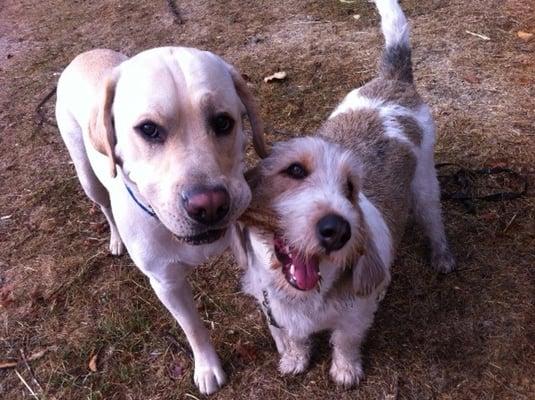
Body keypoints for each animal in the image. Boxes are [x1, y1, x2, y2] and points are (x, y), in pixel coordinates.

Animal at [232, 0, 454, 388]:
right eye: (294, 170)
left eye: (351, 187)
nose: (337, 230)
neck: (306, 297)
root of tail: (394, 80)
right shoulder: (273, 310)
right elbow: (292, 338)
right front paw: (295, 360)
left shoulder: (355, 316)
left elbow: (346, 341)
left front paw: (345, 371)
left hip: (425, 185)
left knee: (434, 220)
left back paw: (441, 256)